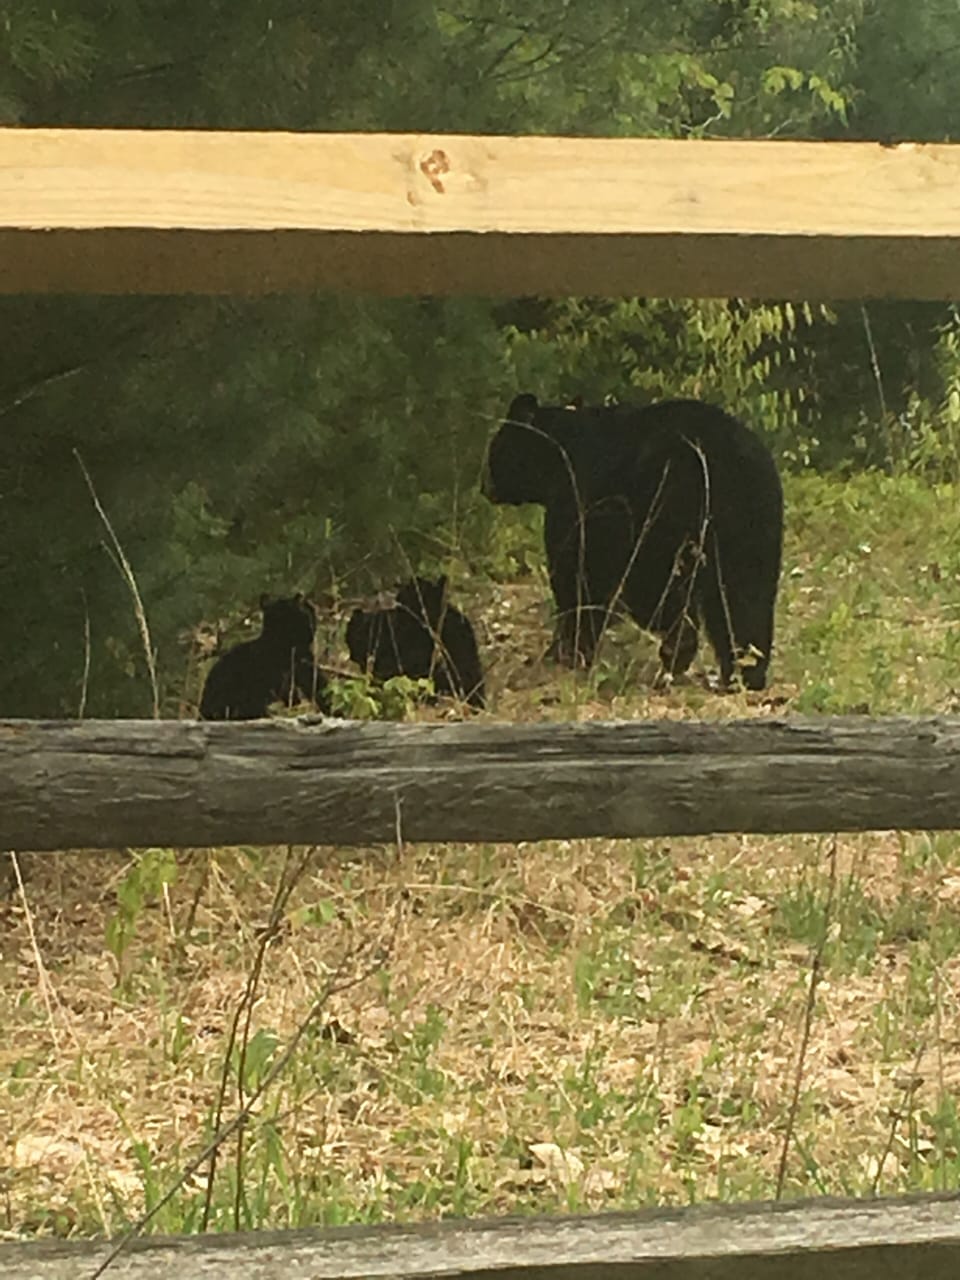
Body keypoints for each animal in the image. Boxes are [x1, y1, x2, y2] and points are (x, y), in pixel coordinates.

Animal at [483, 392, 783, 691]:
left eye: (493, 452)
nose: (485, 488)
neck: (558, 452)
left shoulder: (580, 502)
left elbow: (578, 576)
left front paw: (565, 651)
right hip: (750, 525)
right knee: (744, 597)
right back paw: (745, 673)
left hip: (661, 516)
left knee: (662, 588)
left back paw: (678, 652)